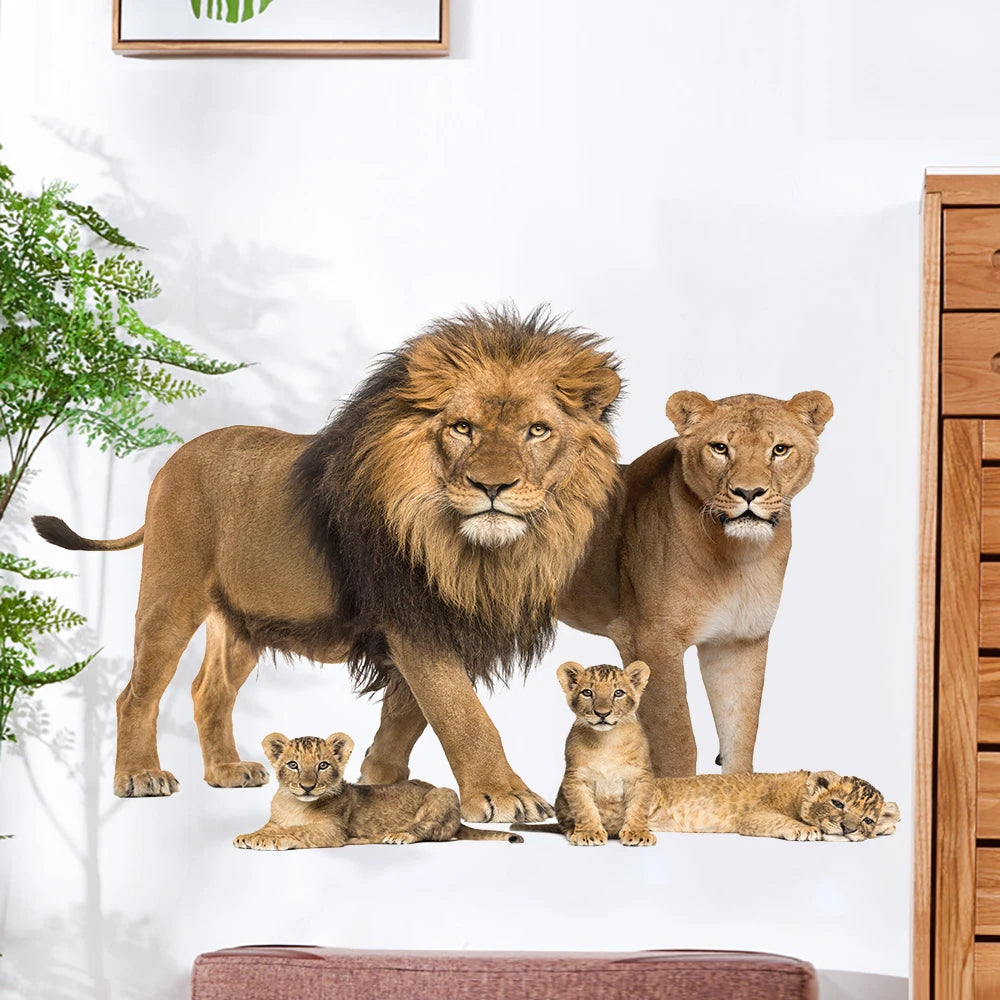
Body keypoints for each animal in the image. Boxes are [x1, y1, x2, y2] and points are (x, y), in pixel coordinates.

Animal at [33, 306, 622, 823]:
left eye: (537, 430)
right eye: (462, 428)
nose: (491, 487)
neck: (479, 553)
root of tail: (176, 455)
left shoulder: (439, 622)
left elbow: (408, 713)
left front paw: (379, 779)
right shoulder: (411, 616)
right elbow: (461, 713)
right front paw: (504, 795)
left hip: (244, 621)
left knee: (208, 692)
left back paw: (226, 770)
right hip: (169, 599)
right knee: (135, 694)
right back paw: (139, 776)